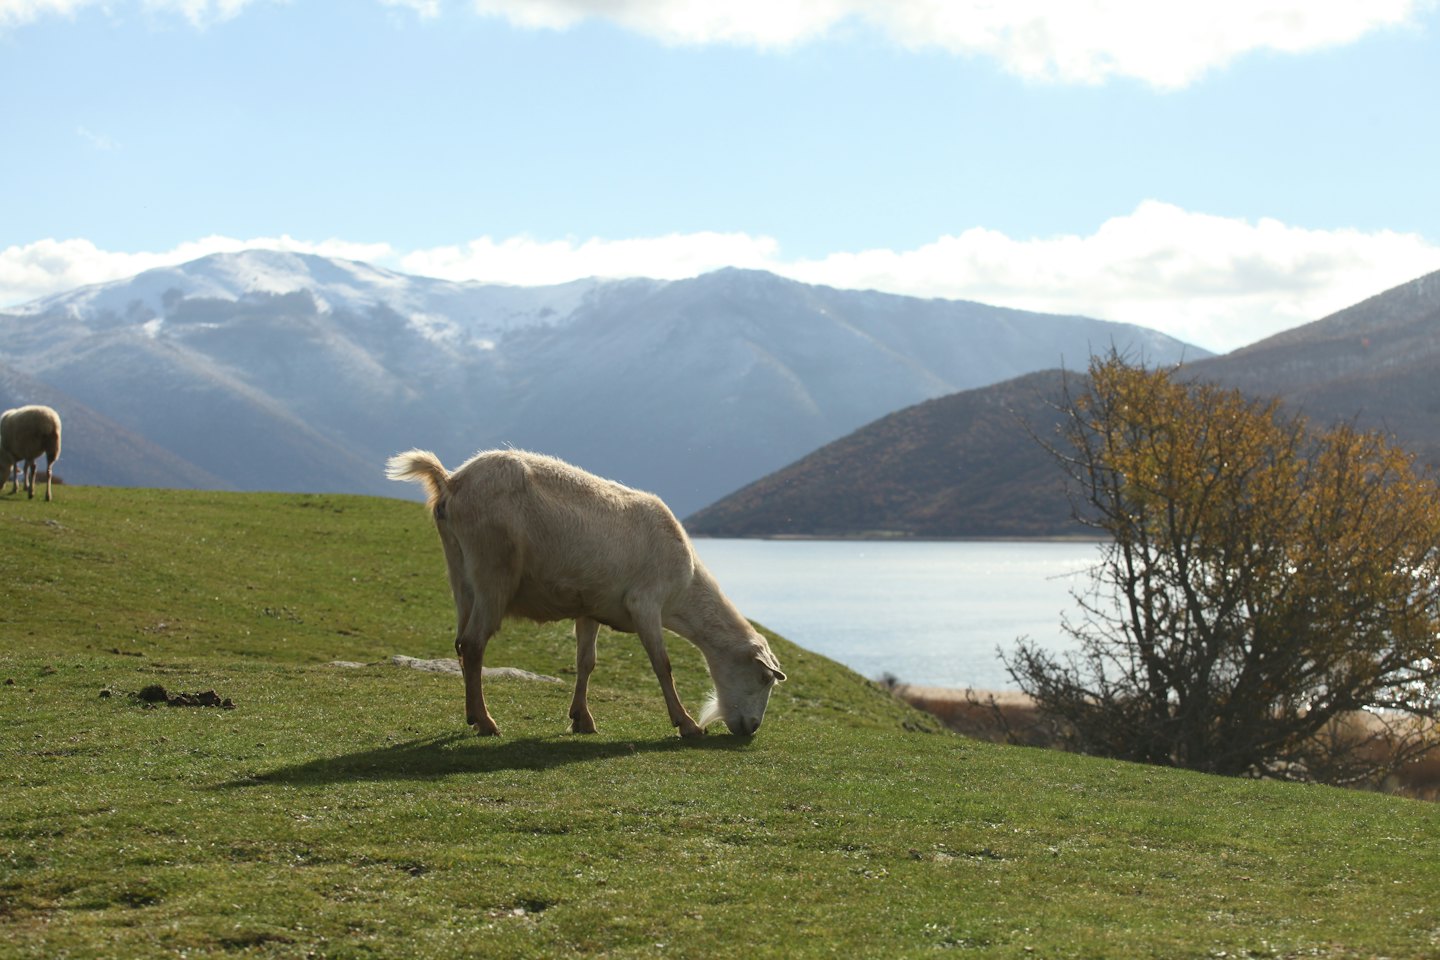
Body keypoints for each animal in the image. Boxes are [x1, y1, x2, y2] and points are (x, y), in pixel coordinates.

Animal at [386, 448, 785, 737]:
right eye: (765, 678)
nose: (751, 729)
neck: (682, 596)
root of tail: (451, 481)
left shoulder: (590, 607)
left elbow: (586, 662)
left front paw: (582, 719)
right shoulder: (646, 604)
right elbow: (663, 665)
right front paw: (686, 724)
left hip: (460, 575)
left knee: (461, 644)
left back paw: (473, 715)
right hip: (492, 572)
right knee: (473, 644)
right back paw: (486, 722)